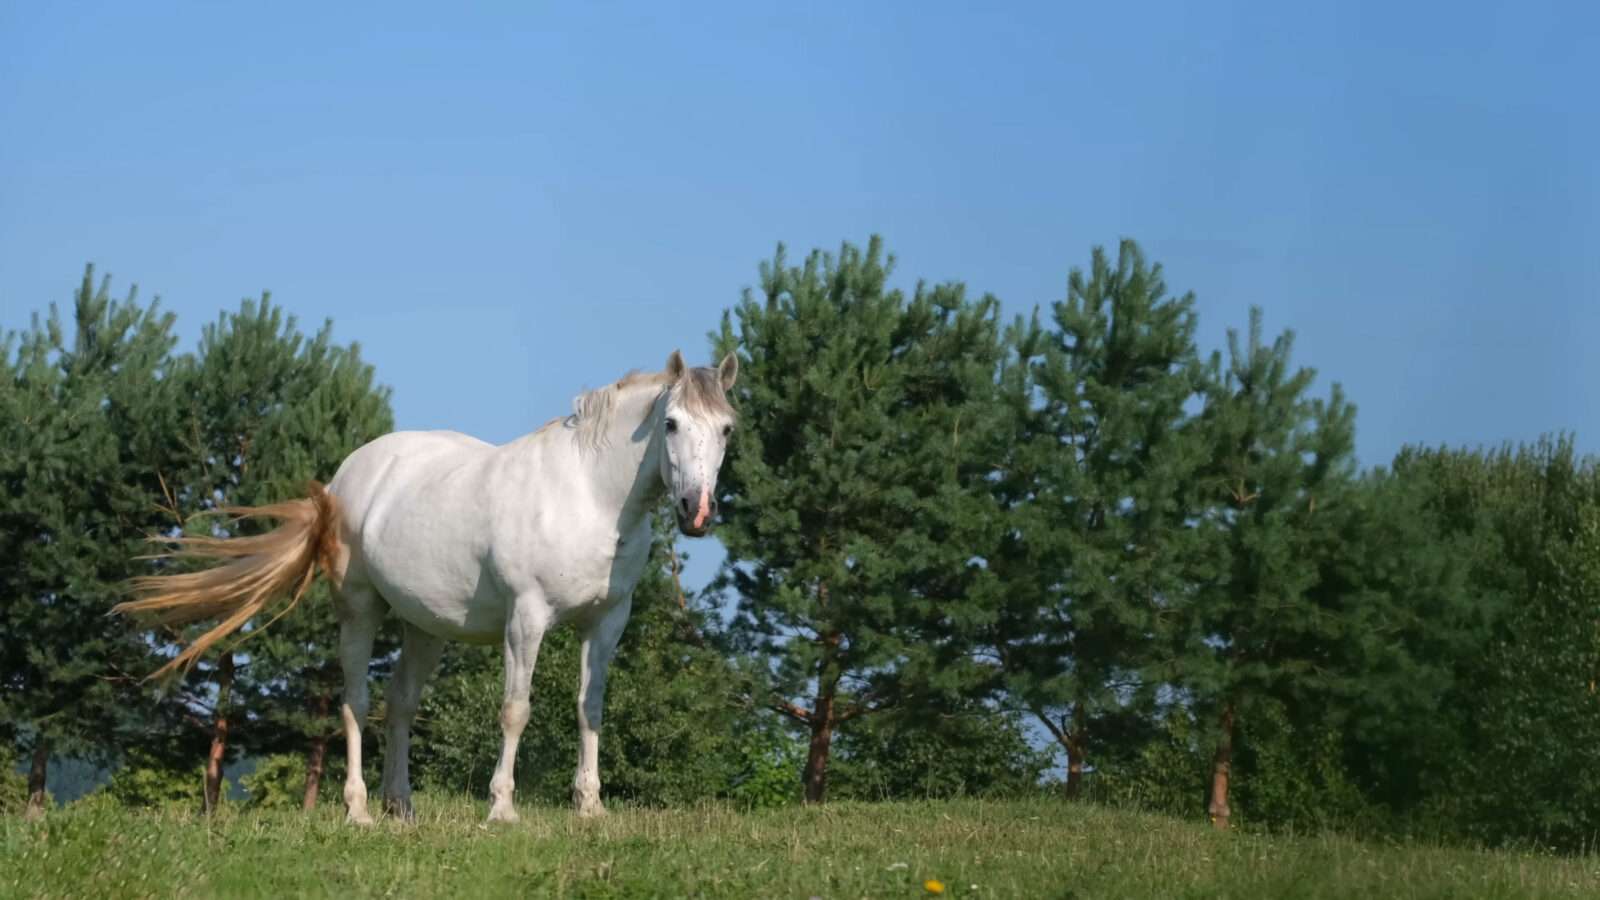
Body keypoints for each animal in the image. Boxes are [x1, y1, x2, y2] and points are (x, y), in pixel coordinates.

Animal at [116, 349, 736, 819]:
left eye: (727, 428)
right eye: (672, 424)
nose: (697, 511)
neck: (587, 496)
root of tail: (344, 479)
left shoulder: (607, 622)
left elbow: (591, 709)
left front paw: (590, 808)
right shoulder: (526, 618)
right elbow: (515, 709)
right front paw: (501, 809)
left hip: (426, 627)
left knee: (400, 704)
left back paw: (401, 807)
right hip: (359, 612)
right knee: (356, 703)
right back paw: (359, 810)